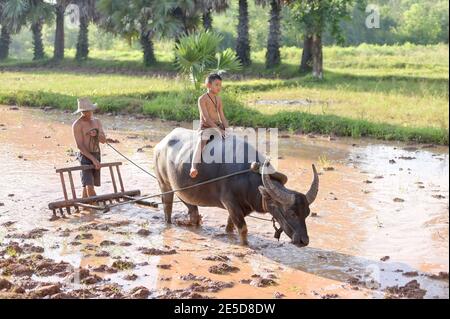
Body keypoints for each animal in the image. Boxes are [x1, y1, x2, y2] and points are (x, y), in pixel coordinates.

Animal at [155, 128, 320, 248]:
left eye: (306, 213)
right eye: (291, 213)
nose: (304, 241)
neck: (247, 177)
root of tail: (161, 144)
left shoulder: (242, 207)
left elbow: (231, 225)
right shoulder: (230, 203)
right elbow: (243, 228)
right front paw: (245, 245)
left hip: (181, 190)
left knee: (192, 210)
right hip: (164, 184)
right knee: (167, 206)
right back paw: (169, 223)